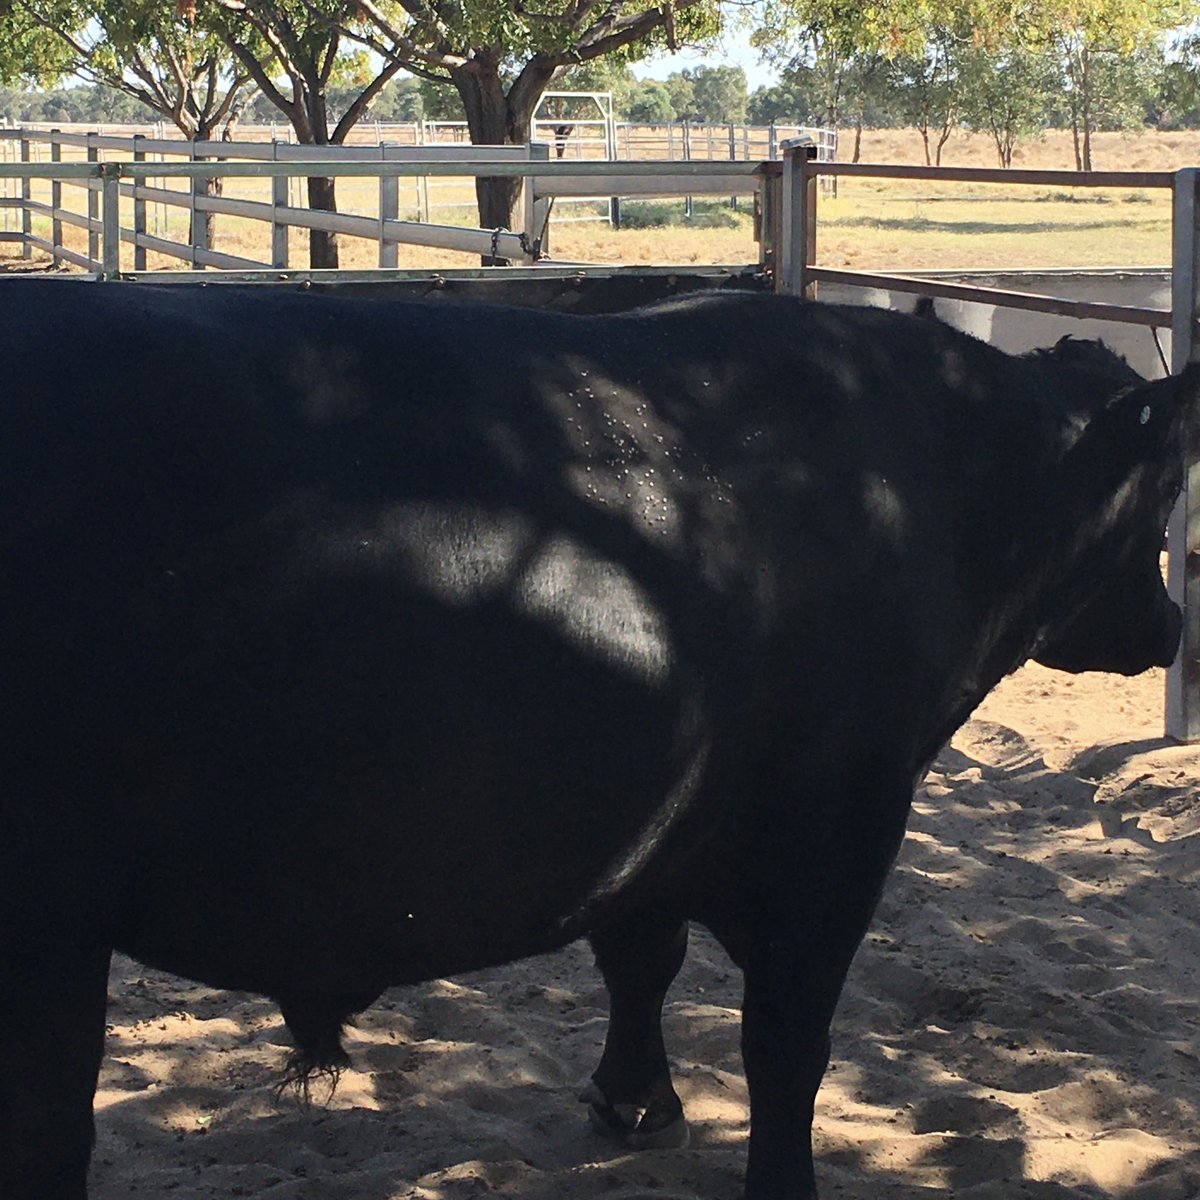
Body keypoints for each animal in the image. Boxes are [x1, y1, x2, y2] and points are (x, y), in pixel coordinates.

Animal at [1, 280, 1193, 1200]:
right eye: (1165, 489)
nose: (1170, 625)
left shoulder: (658, 810)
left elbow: (641, 959)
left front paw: (634, 1102)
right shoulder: (840, 823)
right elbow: (787, 1038)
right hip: (49, 918)